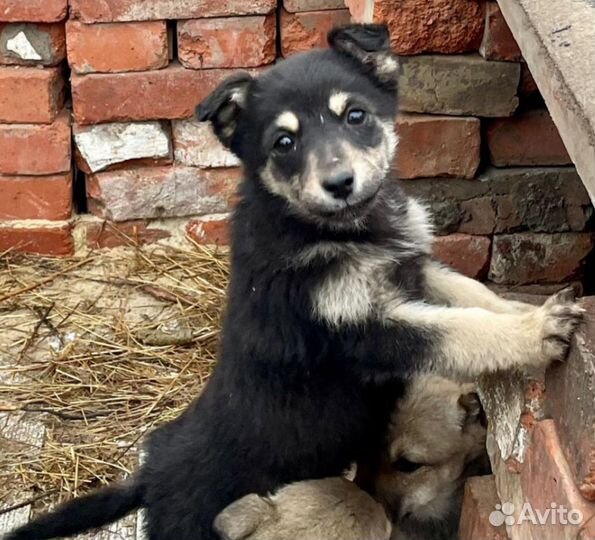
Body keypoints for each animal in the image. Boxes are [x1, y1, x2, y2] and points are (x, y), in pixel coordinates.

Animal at [7, 23, 584, 540]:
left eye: (356, 116)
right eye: (283, 142)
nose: (340, 184)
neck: (343, 228)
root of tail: (150, 479)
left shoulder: (413, 269)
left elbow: (475, 297)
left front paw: (532, 309)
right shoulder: (362, 328)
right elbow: (461, 329)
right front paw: (536, 332)